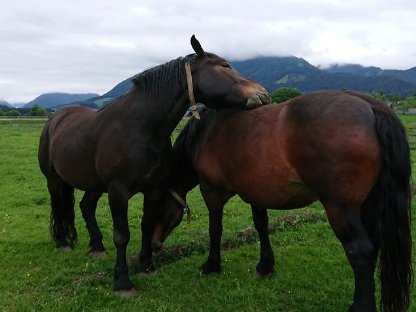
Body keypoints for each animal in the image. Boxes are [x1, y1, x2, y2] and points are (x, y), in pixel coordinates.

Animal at [37, 36, 272, 294]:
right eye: (224, 66)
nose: (263, 94)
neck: (140, 128)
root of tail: (56, 118)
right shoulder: (118, 191)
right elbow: (122, 235)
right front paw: (122, 281)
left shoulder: (153, 188)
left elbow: (146, 225)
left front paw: (146, 265)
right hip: (54, 180)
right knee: (58, 205)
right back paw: (62, 242)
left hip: (95, 184)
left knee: (86, 206)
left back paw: (97, 246)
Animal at [154, 91, 412, 312]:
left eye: (153, 206)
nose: (154, 246)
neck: (206, 132)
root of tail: (372, 106)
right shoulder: (255, 193)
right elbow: (261, 226)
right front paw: (265, 266)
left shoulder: (211, 191)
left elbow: (215, 230)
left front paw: (212, 266)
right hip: (370, 204)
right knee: (375, 245)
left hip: (341, 209)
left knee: (360, 251)